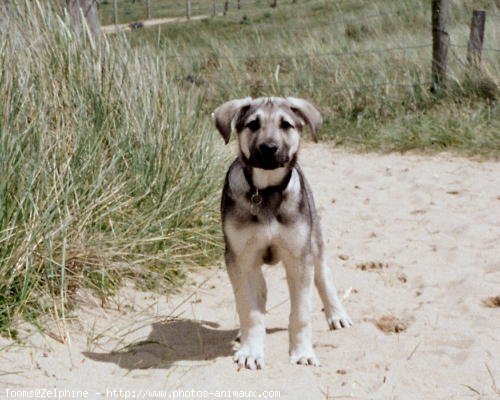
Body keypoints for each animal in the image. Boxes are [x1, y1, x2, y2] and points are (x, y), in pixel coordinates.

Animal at [212, 96, 352, 368]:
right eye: (253, 124)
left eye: (286, 124)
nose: (269, 148)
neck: (265, 191)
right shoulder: (241, 258)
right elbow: (249, 311)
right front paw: (251, 351)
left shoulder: (299, 258)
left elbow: (301, 313)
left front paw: (302, 353)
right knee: (258, 293)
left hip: (314, 243)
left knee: (323, 275)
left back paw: (337, 314)